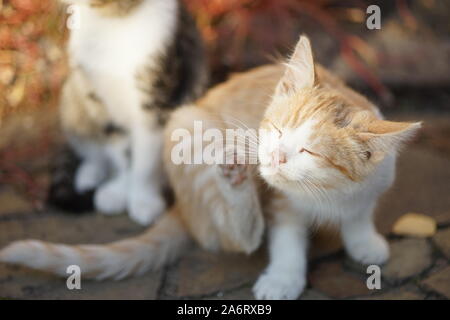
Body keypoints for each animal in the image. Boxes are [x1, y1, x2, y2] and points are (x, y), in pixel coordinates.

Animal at [0, 35, 418, 300]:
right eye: (277, 129)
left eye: (308, 151)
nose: (274, 157)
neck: (330, 195)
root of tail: (181, 206)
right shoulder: (279, 202)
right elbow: (285, 239)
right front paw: (284, 277)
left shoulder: (374, 183)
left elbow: (359, 213)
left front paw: (363, 240)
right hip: (190, 126)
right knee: (240, 236)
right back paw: (236, 188)